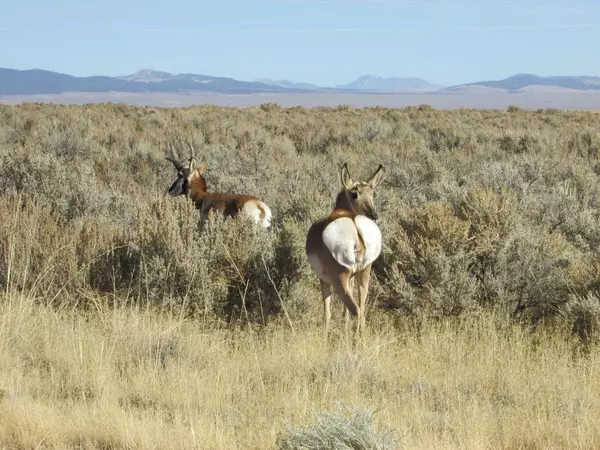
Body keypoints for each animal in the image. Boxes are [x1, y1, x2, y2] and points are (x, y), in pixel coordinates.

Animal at [304, 162, 384, 334]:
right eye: (355, 193)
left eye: (372, 193)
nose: (374, 215)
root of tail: (355, 225)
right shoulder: (352, 279)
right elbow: (344, 314)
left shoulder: (324, 280)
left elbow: (327, 312)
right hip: (363, 274)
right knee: (361, 311)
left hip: (339, 280)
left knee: (356, 311)